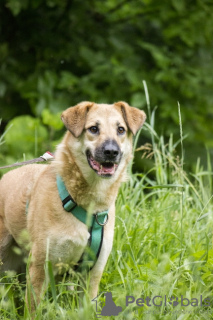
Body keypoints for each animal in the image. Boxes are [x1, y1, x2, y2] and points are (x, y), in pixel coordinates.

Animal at [0, 101, 146, 308]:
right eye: (93, 129)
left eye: (121, 129)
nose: (111, 151)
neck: (88, 206)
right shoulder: (40, 267)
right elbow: (33, 309)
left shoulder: (92, 273)